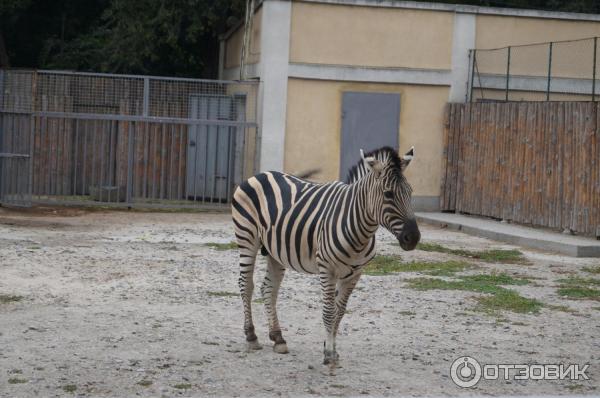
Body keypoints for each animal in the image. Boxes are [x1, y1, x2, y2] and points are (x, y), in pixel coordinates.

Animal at [232, 145, 420, 364]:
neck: (358, 227)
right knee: (246, 285)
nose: (413, 237)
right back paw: (251, 336)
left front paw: (331, 347)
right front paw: (329, 353)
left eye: (410, 192)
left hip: (275, 251)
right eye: (388, 194)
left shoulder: (355, 273)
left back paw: (278, 338)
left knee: (269, 289)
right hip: (247, 238)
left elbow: (340, 311)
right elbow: (329, 311)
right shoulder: (327, 268)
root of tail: (261, 174)